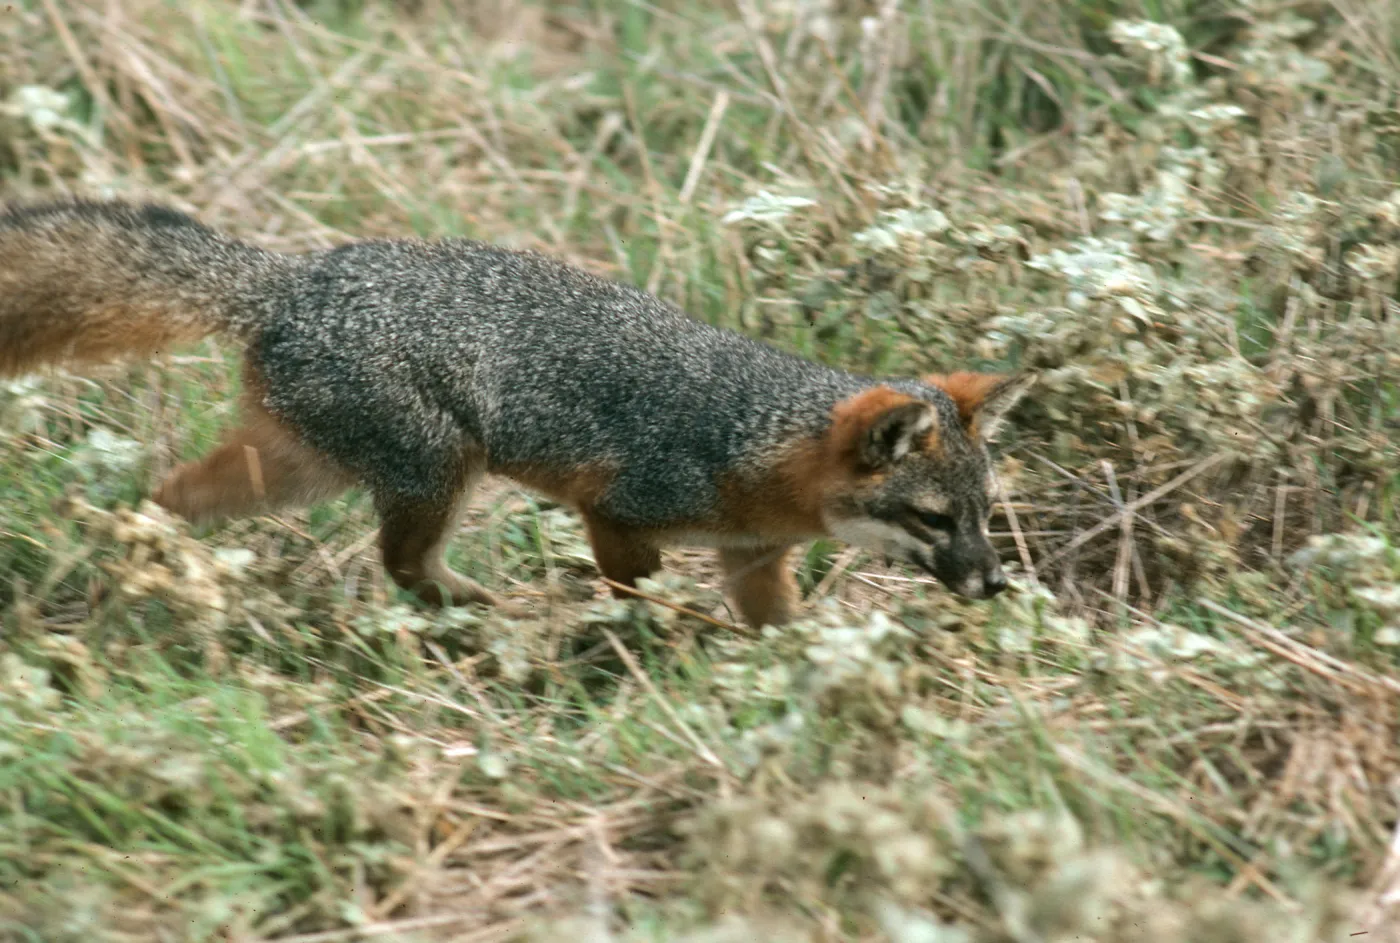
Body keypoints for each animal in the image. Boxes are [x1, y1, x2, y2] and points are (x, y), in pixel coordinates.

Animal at [0, 199, 1033, 627]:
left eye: (987, 515)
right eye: (932, 519)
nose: (994, 584)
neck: (755, 440)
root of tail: (293, 280)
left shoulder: (754, 562)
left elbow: (782, 628)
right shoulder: (617, 510)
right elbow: (637, 582)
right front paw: (654, 633)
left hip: (299, 471)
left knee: (167, 496)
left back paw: (136, 568)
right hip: (434, 469)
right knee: (403, 563)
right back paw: (488, 608)